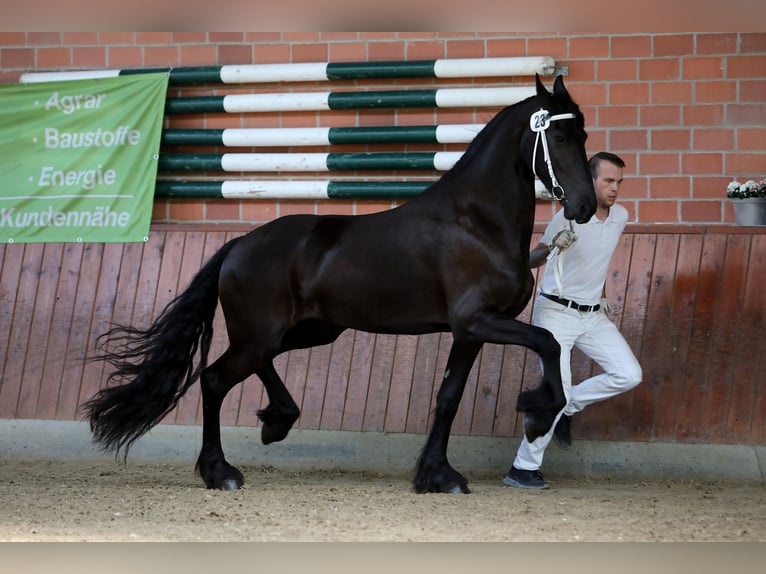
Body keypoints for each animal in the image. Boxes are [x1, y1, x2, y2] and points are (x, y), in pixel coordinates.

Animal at [85, 75, 600, 496]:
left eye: (584, 134)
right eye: (558, 135)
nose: (585, 206)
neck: (476, 223)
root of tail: (238, 245)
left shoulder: (469, 332)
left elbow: (449, 398)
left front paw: (438, 476)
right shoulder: (478, 321)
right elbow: (549, 342)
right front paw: (538, 414)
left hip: (307, 331)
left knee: (250, 367)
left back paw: (276, 421)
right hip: (265, 334)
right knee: (214, 379)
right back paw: (221, 472)